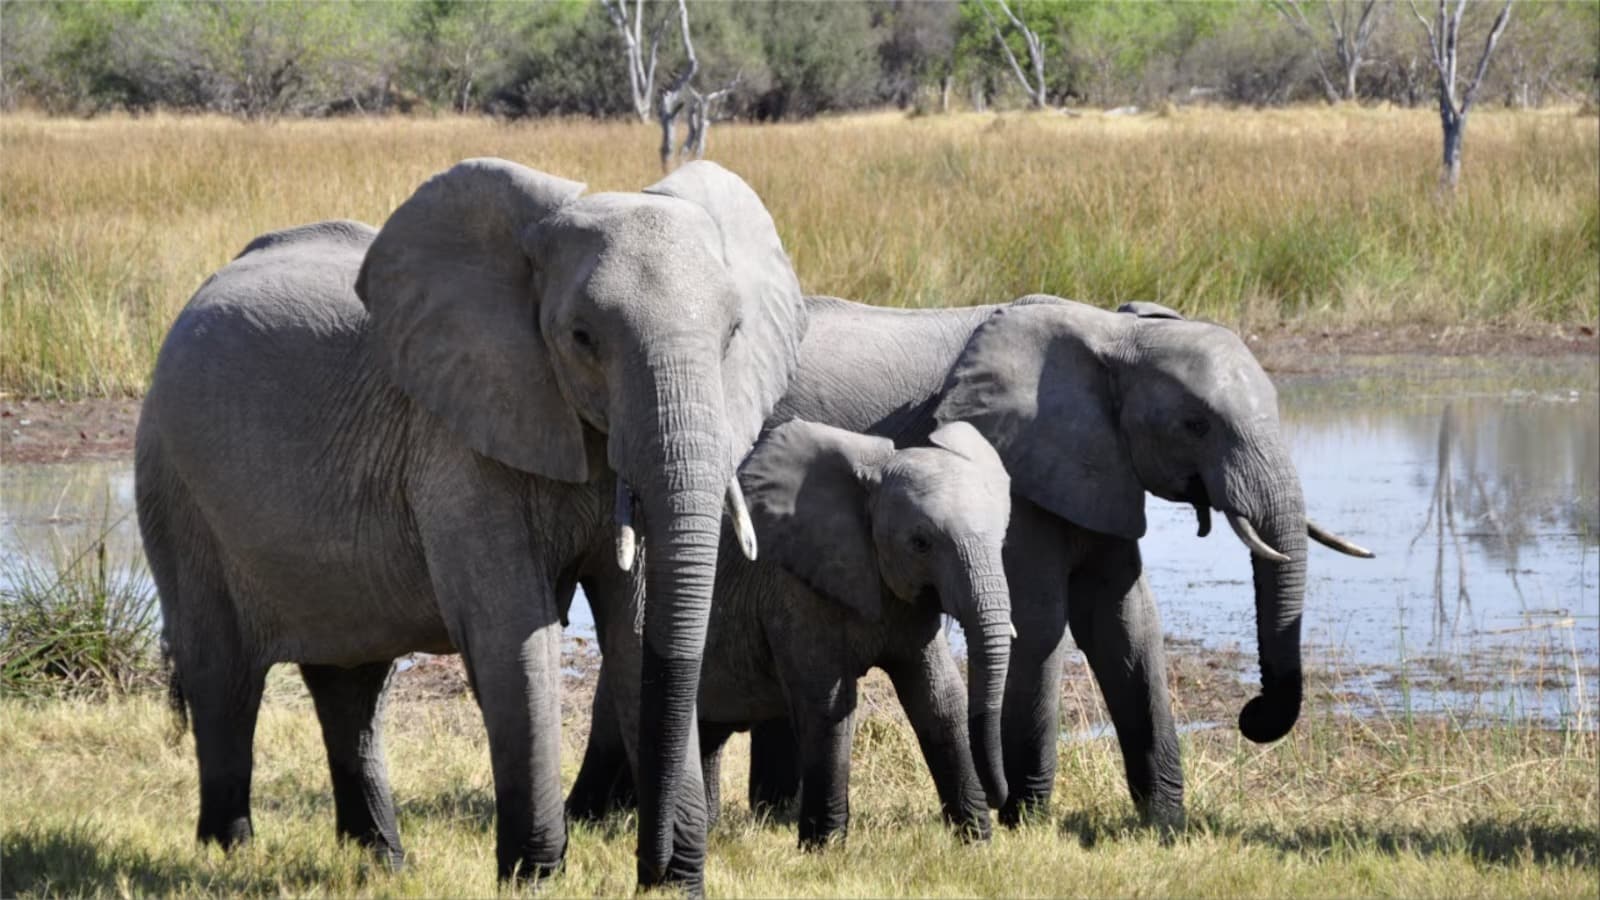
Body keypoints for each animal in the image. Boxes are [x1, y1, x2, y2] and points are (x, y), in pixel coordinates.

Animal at [136, 156, 806, 883]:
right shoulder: (457, 441)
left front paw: (673, 883)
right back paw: (230, 852)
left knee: (353, 686)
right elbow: (513, 632)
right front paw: (534, 878)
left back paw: (384, 864)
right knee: (223, 675)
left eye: (733, 335)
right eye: (582, 338)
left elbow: (634, 627)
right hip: (174, 482)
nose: (655, 867)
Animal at [582, 416, 1017, 845]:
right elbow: (828, 706)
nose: (1000, 798)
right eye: (921, 543)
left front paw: (977, 840)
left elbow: (940, 700)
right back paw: (589, 824)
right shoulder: (794, 590)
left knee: (707, 734)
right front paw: (825, 847)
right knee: (613, 732)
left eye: (1002, 539)